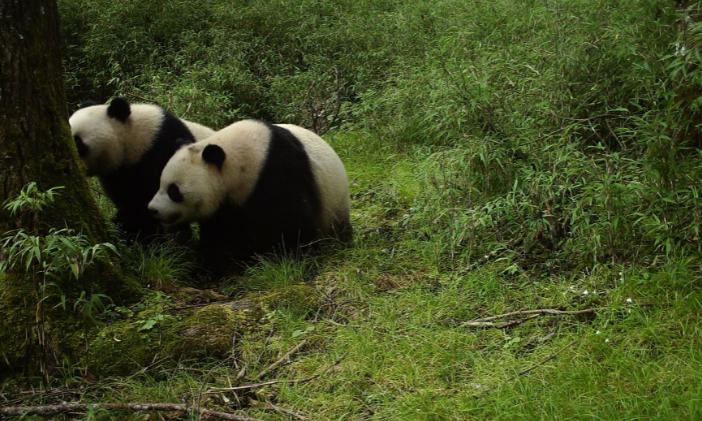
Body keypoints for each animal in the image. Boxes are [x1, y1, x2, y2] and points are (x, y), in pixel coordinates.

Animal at [149, 118, 354, 270]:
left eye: (174, 191)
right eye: (159, 184)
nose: (152, 209)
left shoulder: (279, 171)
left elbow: (293, 221)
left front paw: (291, 260)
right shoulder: (225, 205)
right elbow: (221, 233)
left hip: (335, 203)